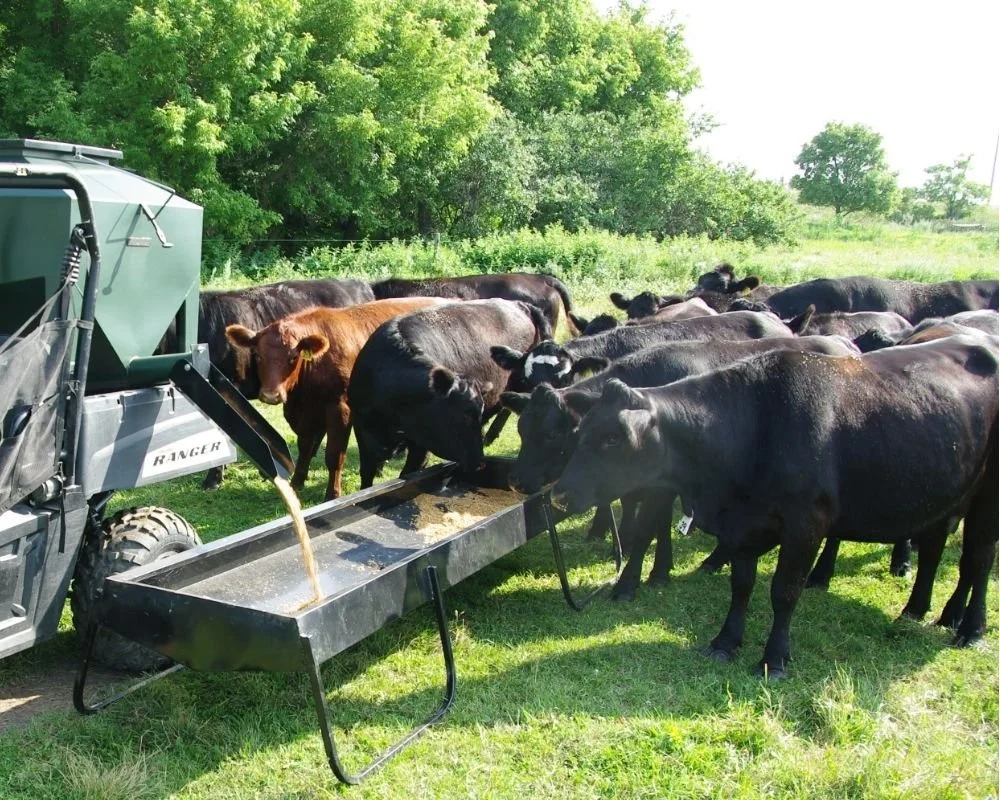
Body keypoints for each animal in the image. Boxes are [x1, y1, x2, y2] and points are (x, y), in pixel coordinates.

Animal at [225, 297, 445, 499]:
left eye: (292, 358)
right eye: (257, 355)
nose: (271, 395)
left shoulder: (340, 410)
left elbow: (334, 455)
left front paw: (332, 494)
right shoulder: (304, 413)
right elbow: (305, 447)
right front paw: (297, 483)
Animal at [348, 299, 552, 488]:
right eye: (465, 416)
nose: (480, 463)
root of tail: (519, 304)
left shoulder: (422, 445)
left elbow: (408, 474)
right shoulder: (362, 430)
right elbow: (367, 475)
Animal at [501, 336, 860, 601]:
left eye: (551, 434)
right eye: (521, 429)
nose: (517, 480)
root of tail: (844, 345)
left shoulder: (664, 486)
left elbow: (648, 527)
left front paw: (632, 581)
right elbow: (656, 523)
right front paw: (661, 569)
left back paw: (818, 574)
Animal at [551, 335, 998, 677]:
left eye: (612, 439)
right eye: (581, 431)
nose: (559, 494)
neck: (753, 427)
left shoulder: (805, 525)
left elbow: (784, 592)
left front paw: (774, 658)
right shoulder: (743, 526)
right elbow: (742, 585)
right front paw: (726, 641)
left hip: (988, 496)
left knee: (977, 559)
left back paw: (970, 628)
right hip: (944, 494)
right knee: (936, 550)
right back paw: (923, 610)